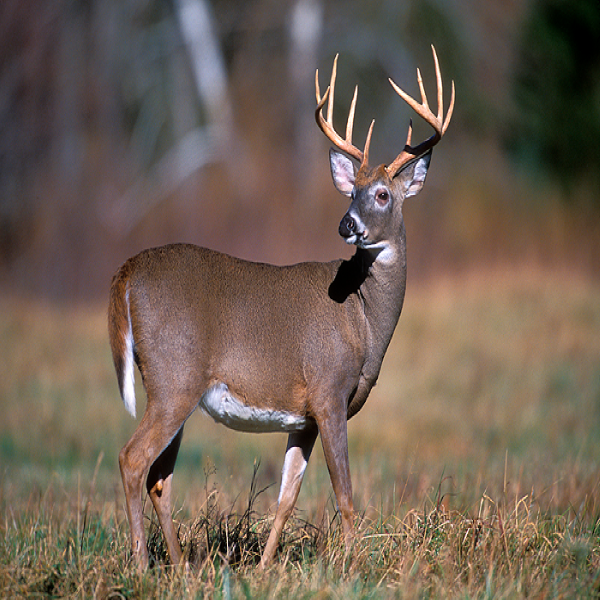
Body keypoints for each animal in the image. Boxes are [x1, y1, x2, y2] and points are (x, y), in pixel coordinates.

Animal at [110, 44, 452, 568]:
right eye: (351, 192)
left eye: (381, 194)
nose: (347, 224)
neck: (363, 319)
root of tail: (127, 271)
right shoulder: (329, 391)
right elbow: (345, 495)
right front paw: (355, 566)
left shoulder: (304, 415)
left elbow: (288, 496)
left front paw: (268, 566)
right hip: (173, 378)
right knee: (133, 460)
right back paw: (143, 565)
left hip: (169, 387)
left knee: (159, 477)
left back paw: (182, 568)